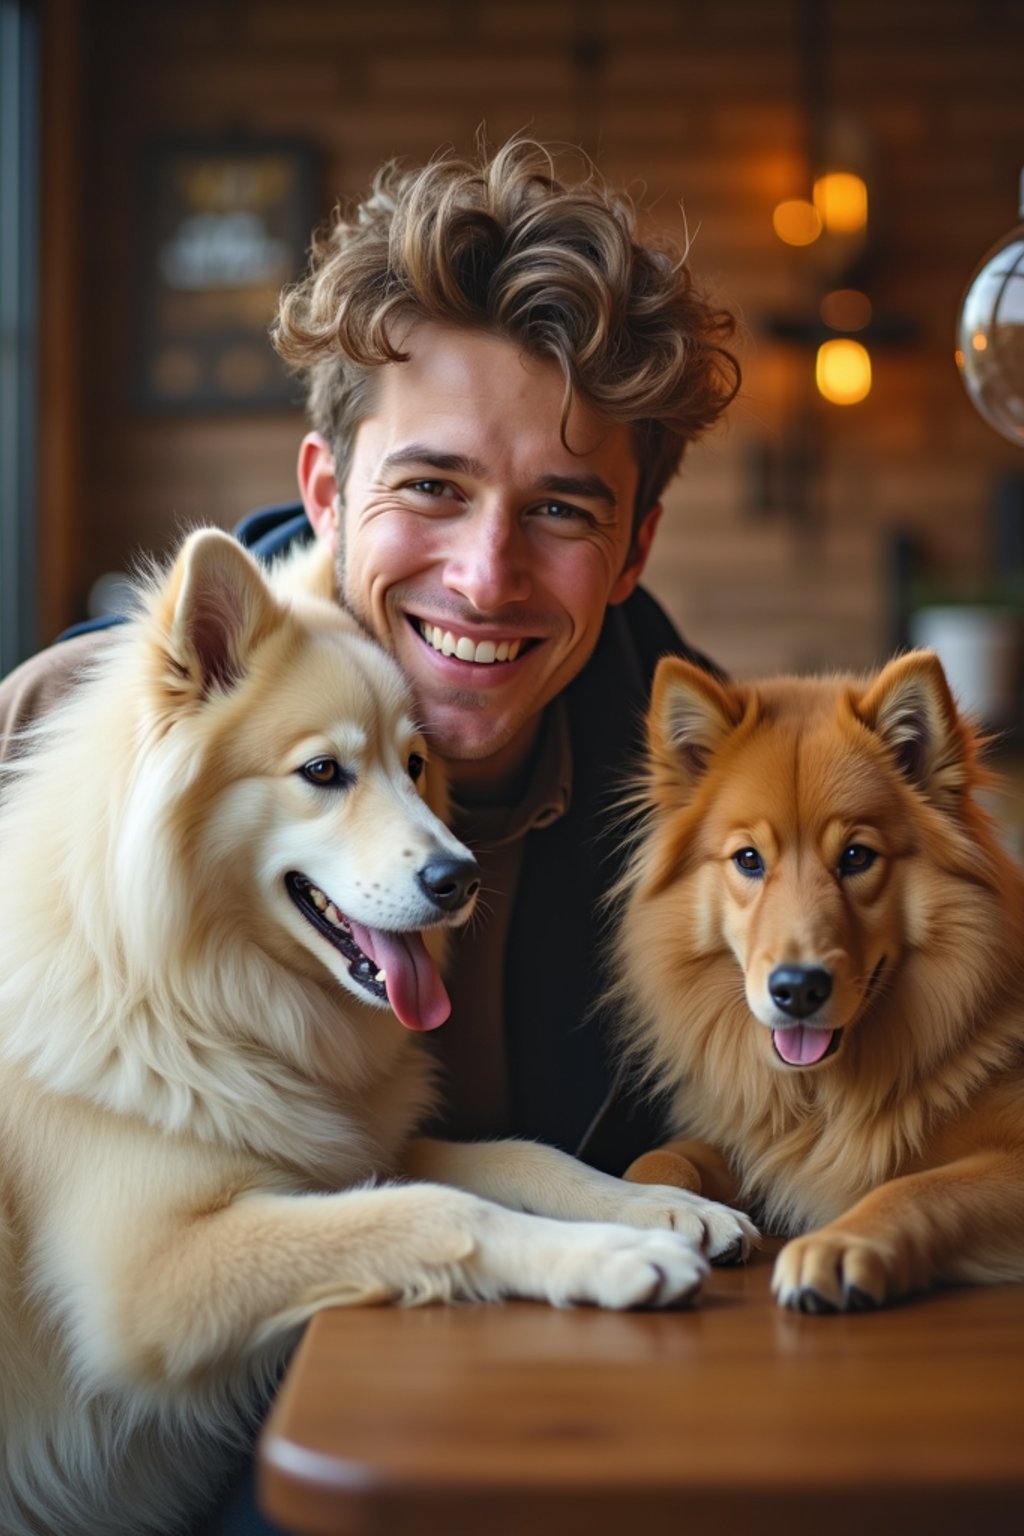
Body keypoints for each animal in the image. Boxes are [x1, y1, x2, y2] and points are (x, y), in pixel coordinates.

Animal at [617, 654, 1024, 1314]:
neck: (820, 1100)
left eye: (856, 856)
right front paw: (665, 1211)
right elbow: (656, 1158)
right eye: (748, 859)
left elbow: (918, 1187)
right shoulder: (744, 1141)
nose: (798, 989)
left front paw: (837, 1246)